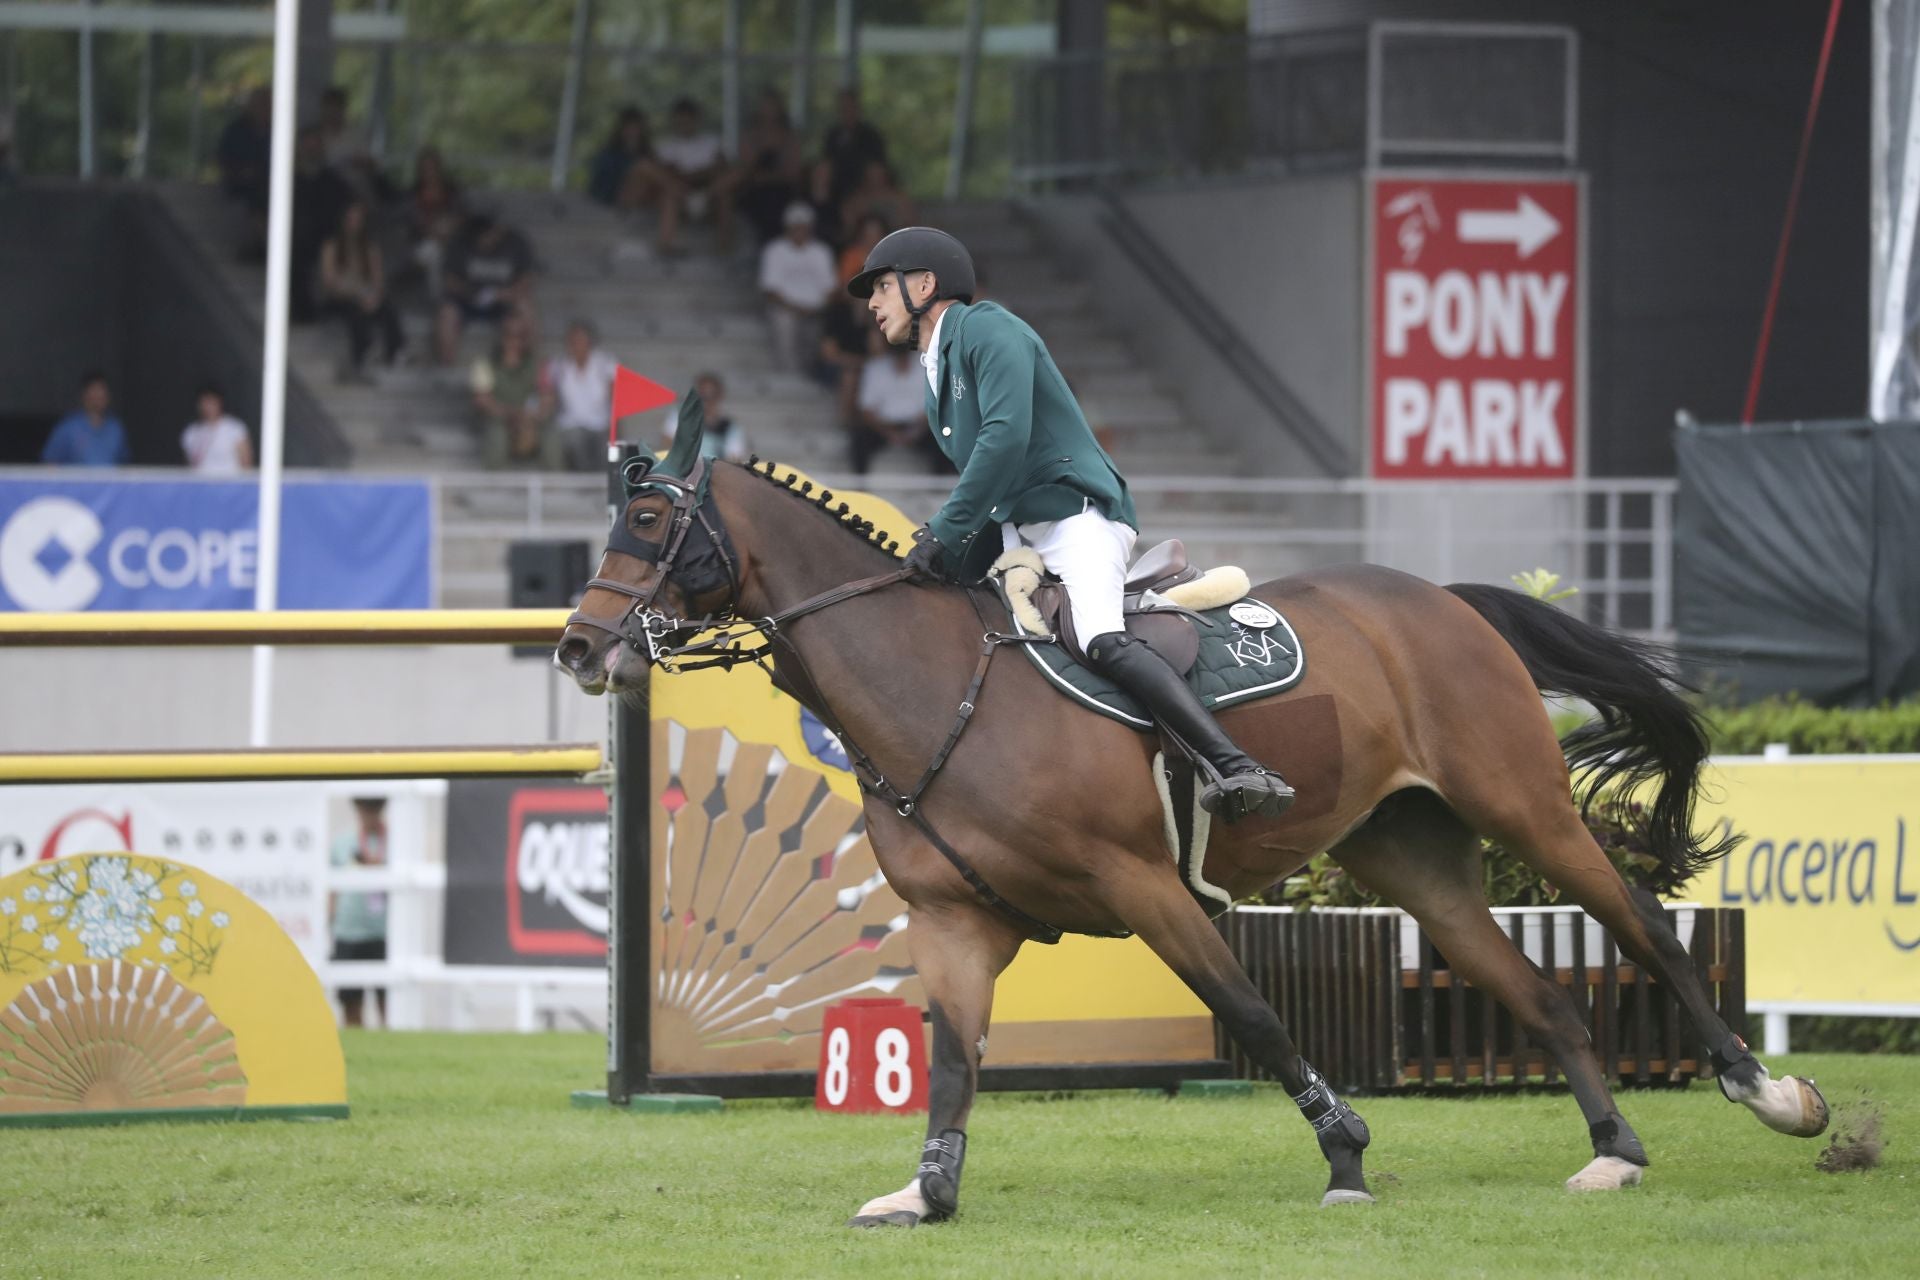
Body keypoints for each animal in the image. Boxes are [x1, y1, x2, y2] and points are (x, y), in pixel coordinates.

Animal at [552, 404, 1827, 1228]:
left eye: (652, 528)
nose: (577, 647)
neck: (931, 686)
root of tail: (1441, 599)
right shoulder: (956, 922)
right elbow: (953, 1059)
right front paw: (930, 1188)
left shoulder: (1146, 885)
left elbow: (1252, 1014)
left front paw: (1346, 1156)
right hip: (1413, 857)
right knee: (1543, 992)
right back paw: (1616, 1152)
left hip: (1524, 804)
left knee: (1645, 927)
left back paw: (1772, 1093)